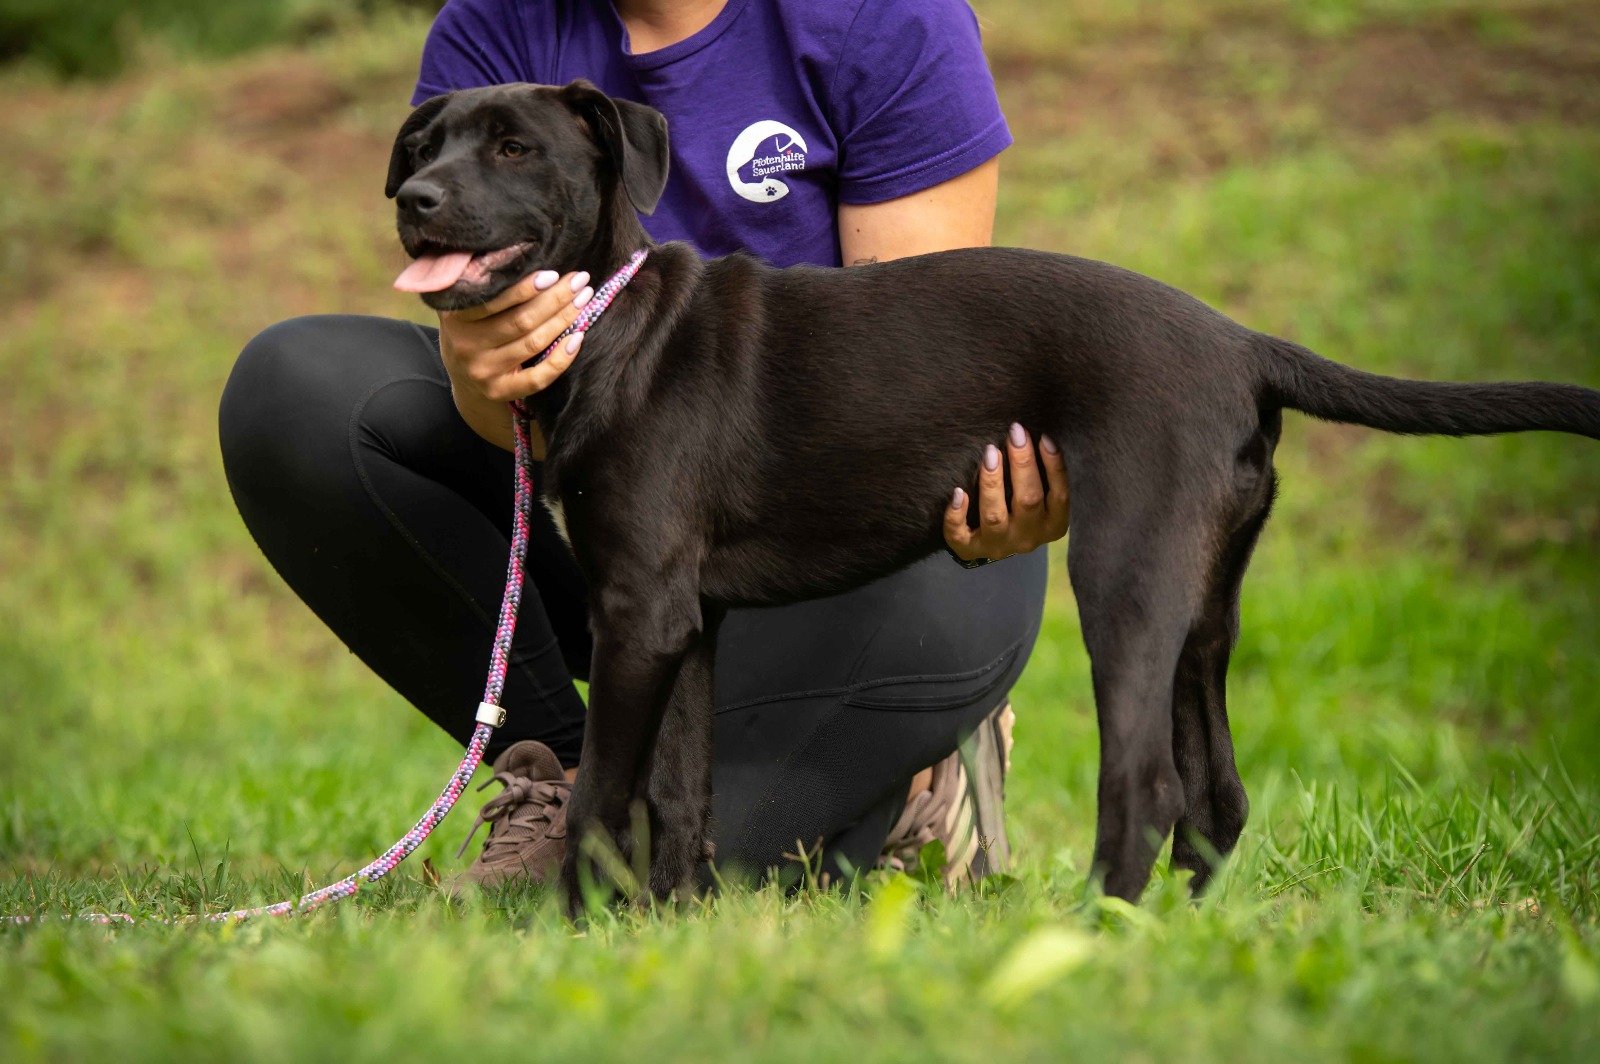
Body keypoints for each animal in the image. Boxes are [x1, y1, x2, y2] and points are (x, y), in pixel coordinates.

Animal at [385, 80, 1600, 912]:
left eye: (514, 146)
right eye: (428, 146)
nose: (412, 199)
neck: (614, 328)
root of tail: (1242, 345)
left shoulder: (638, 611)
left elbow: (604, 795)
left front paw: (579, 928)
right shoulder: (685, 619)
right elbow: (679, 793)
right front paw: (675, 927)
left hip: (1124, 576)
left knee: (1147, 784)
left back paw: (1093, 931)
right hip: (1206, 601)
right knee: (1216, 792)